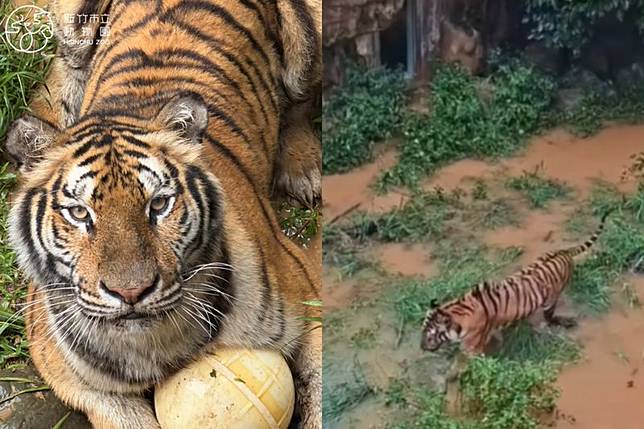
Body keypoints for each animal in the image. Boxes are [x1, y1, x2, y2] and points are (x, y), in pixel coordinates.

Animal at [4, 0, 322, 428]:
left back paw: (304, 167)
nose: (131, 293)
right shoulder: (60, 364)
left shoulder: (307, 290)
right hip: (73, 27)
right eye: (79, 213)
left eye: (159, 204)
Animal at [421, 210, 611, 355]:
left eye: (431, 335)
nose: (421, 347)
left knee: (550, 316)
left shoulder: (472, 345)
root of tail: (563, 251)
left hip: (550, 300)